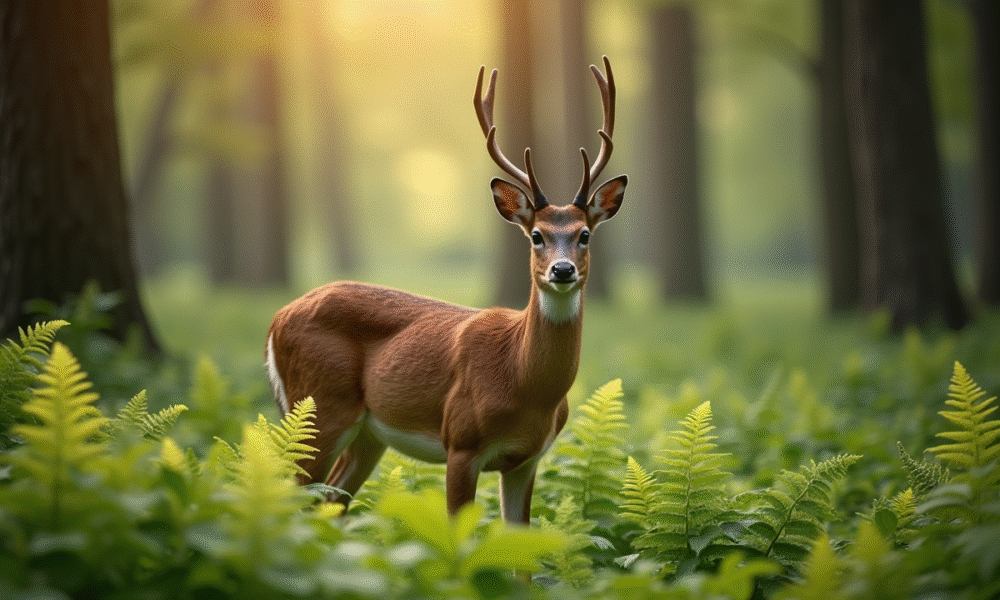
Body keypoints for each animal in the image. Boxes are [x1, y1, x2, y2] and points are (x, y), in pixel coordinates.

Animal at [265, 57, 627, 526]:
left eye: (584, 235)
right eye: (536, 236)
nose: (562, 270)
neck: (522, 380)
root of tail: (277, 318)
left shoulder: (528, 459)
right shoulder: (461, 441)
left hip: (366, 434)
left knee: (331, 501)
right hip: (318, 405)